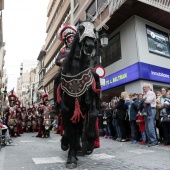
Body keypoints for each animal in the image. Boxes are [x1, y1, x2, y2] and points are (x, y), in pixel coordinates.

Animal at [56, 20, 101, 169]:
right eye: (81, 28)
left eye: (94, 30)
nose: (90, 45)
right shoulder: (66, 109)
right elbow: (70, 131)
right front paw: (71, 158)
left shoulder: (89, 103)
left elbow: (93, 115)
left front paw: (90, 141)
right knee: (70, 129)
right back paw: (68, 145)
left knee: (79, 129)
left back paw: (80, 148)